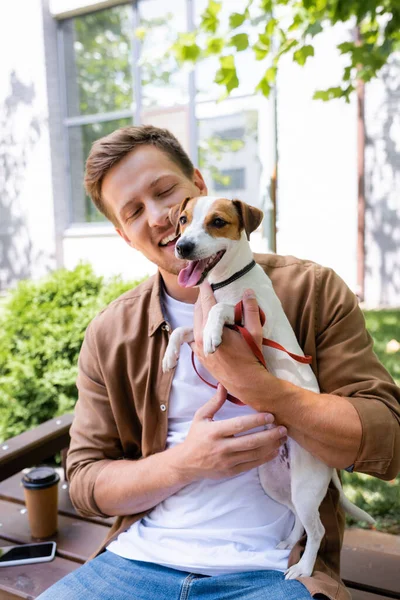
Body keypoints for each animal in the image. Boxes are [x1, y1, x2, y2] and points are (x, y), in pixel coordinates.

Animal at [163, 197, 376, 580]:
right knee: (296, 518)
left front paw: (213, 332)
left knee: (317, 528)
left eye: (218, 222)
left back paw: (303, 567)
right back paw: (287, 544)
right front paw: (170, 356)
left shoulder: (249, 316)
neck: (226, 282)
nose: (182, 247)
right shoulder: (197, 325)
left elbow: (219, 310)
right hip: (274, 481)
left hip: (306, 487)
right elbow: (183, 331)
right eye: (183, 220)